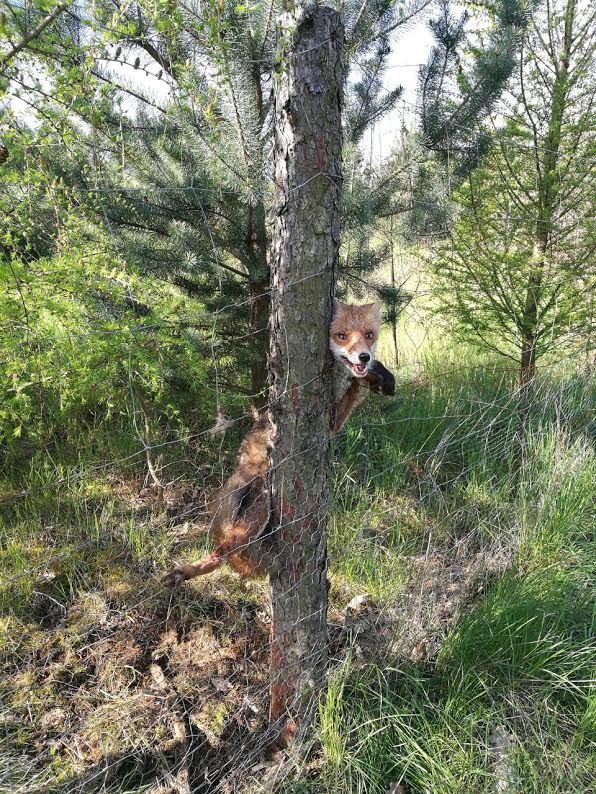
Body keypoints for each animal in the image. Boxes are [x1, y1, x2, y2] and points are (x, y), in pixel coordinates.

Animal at [163, 300, 396, 584]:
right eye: (341, 336)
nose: (364, 357)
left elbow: (357, 388)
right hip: (260, 508)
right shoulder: (327, 417)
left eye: (369, 335)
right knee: (221, 551)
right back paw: (185, 572)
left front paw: (380, 378)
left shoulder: (333, 422)